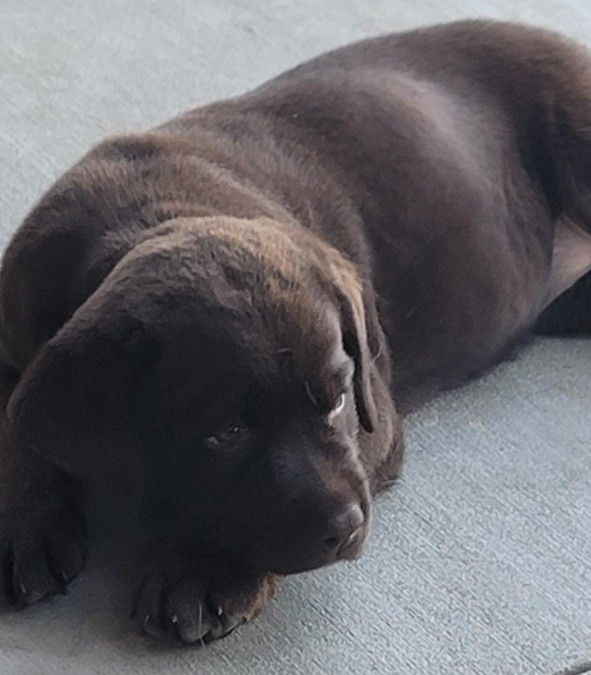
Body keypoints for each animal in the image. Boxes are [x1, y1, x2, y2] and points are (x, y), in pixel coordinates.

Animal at [1, 18, 591, 648]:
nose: (346, 527)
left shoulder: (374, 414)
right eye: (225, 433)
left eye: (337, 400)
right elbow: (12, 426)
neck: (150, 217)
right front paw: (25, 521)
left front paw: (208, 570)